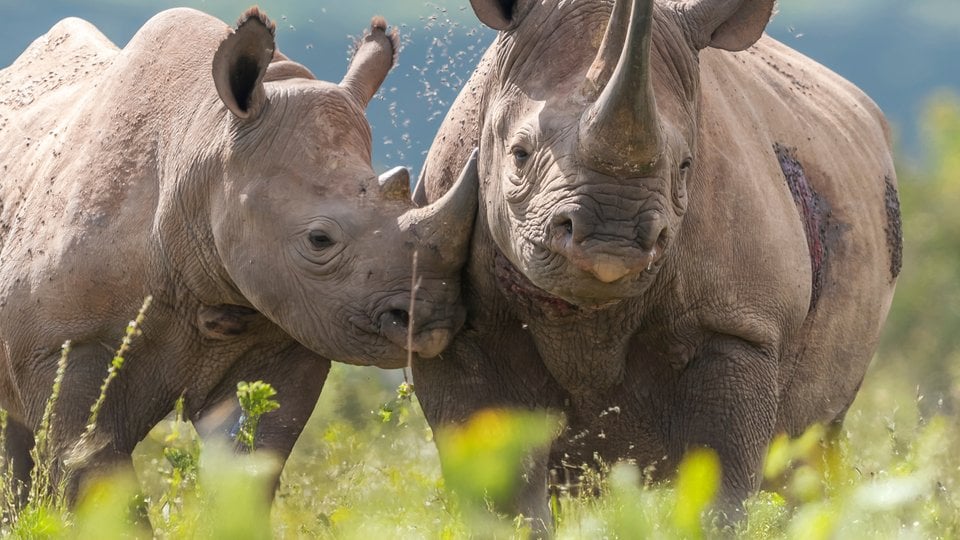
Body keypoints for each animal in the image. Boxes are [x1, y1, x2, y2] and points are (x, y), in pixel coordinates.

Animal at [0, 7, 475, 501]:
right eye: (319, 240)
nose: (434, 318)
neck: (202, 147)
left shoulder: (283, 337)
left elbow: (250, 464)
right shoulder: (62, 346)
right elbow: (94, 472)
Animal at [412, 0, 901, 527]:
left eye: (685, 167)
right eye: (519, 155)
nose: (612, 240)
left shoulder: (739, 324)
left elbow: (719, 488)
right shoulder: (457, 329)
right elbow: (499, 490)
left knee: (808, 446)